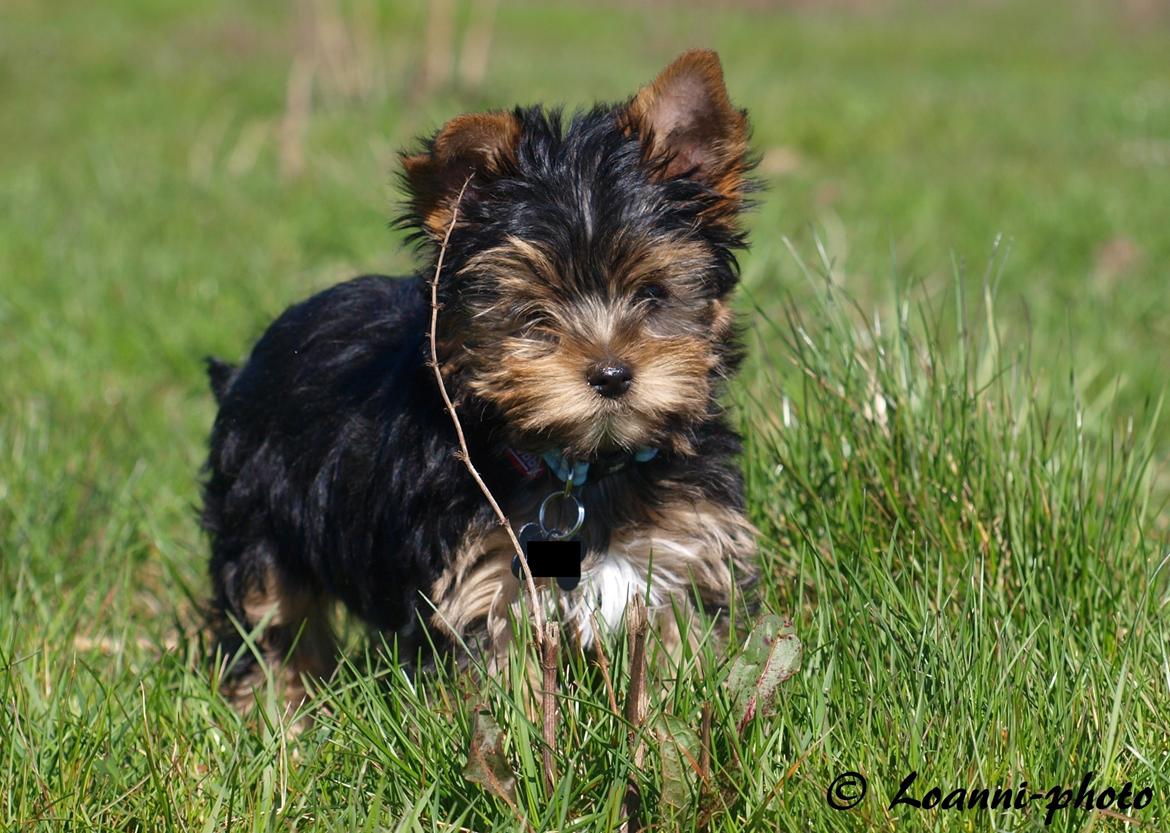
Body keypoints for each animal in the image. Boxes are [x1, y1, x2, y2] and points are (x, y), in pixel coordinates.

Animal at [203, 48, 758, 706]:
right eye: (535, 315)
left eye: (653, 294)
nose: (612, 374)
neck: (582, 468)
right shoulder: (482, 578)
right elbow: (498, 682)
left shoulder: (680, 551)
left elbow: (678, 652)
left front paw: (668, 716)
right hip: (258, 518)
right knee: (271, 620)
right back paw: (276, 713)